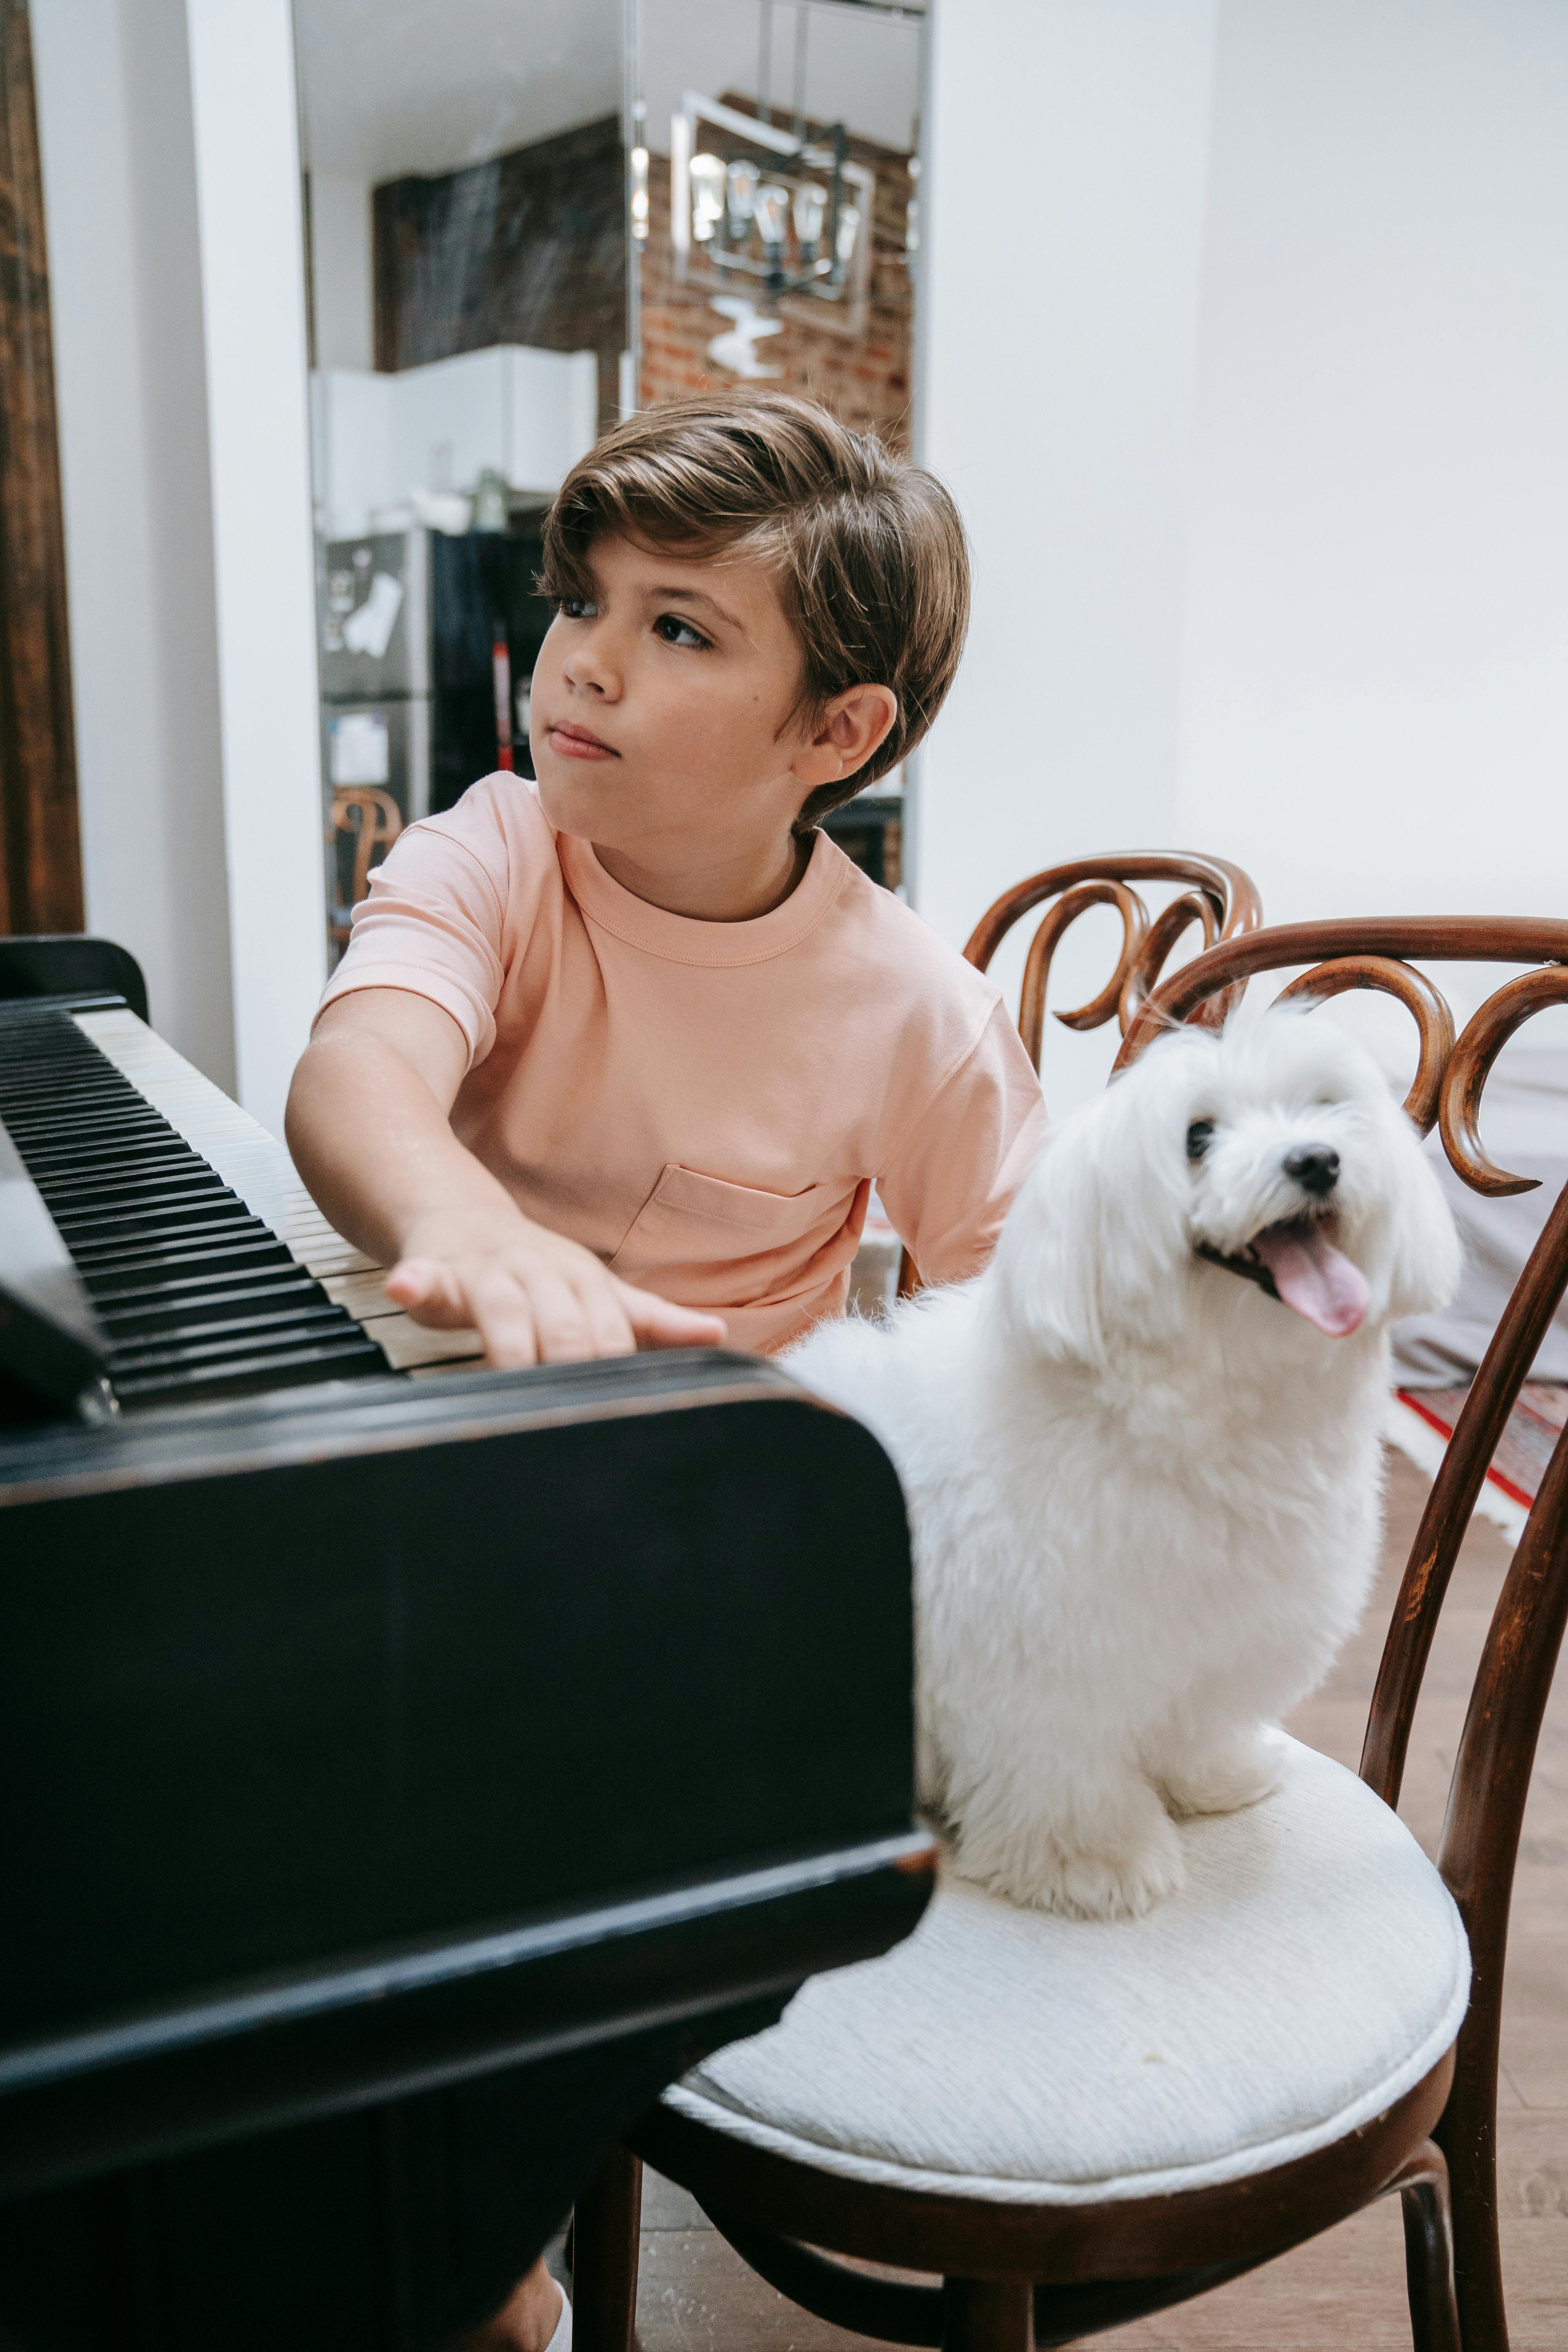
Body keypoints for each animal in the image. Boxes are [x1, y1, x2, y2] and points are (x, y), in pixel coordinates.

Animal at [789, 1007, 1467, 1910]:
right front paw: (1090, 1860)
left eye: (1324, 1109)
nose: (1316, 1160)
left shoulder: (1221, 1639)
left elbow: (1196, 1724)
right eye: (1198, 1137)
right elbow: (1063, 1773)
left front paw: (1211, 1778)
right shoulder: (1047, 1665)